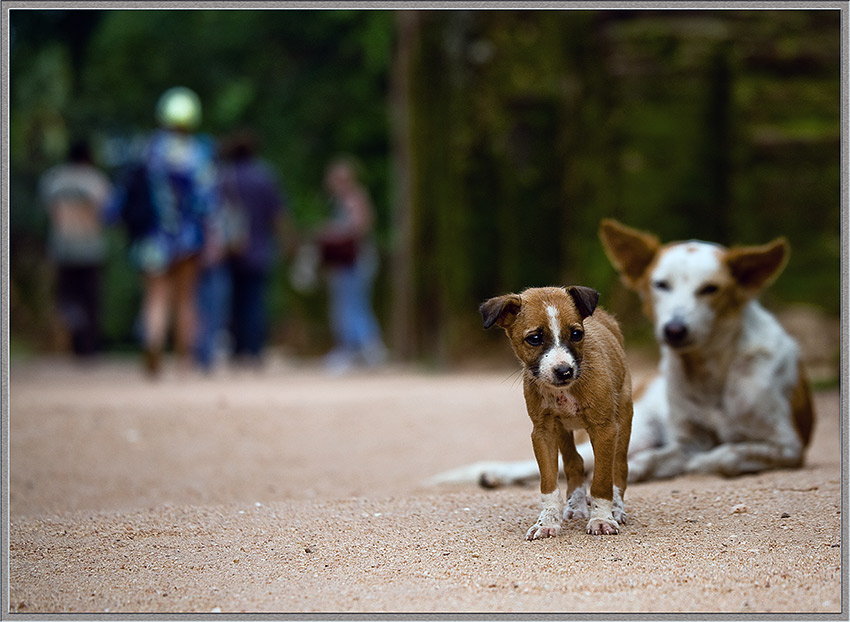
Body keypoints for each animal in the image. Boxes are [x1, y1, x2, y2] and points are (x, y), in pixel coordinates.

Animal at [480, 288, 632, 540]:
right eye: (534, 338)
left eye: (577, 334)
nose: (564, 371)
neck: (565, 390)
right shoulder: (543, 433)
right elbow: (549, 484)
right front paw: (547, 522)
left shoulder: (605, 429)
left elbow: (602, 480)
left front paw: (601, 519)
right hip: (563, 430)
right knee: (574, 463)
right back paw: (576, 505)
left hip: (624, 420)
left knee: (619, 468)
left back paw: (616, 509)